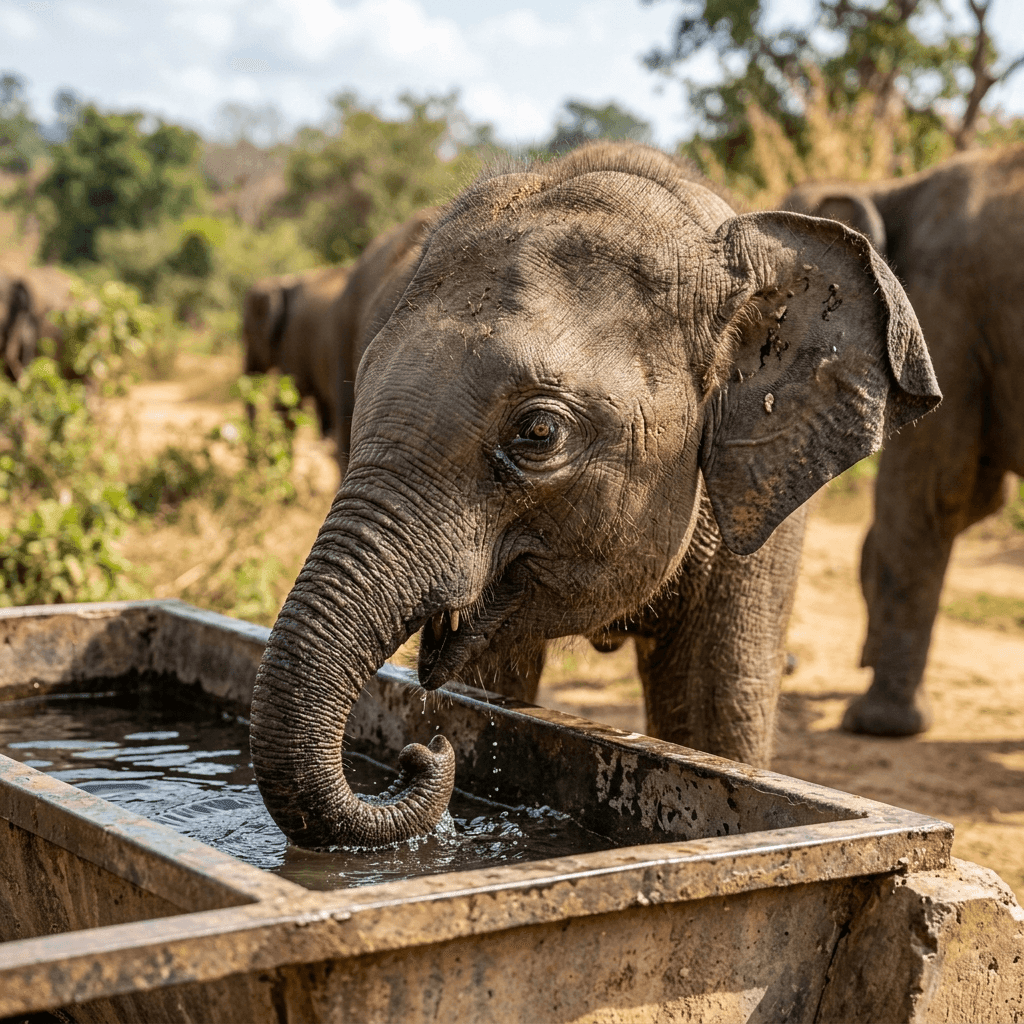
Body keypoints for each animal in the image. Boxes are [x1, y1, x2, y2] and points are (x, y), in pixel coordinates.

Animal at [782, 144, 1024, 736]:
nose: (791, 666)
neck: (890, 189)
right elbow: (976, 498)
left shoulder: (943, 311)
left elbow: (935, 491)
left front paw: (877, 725)